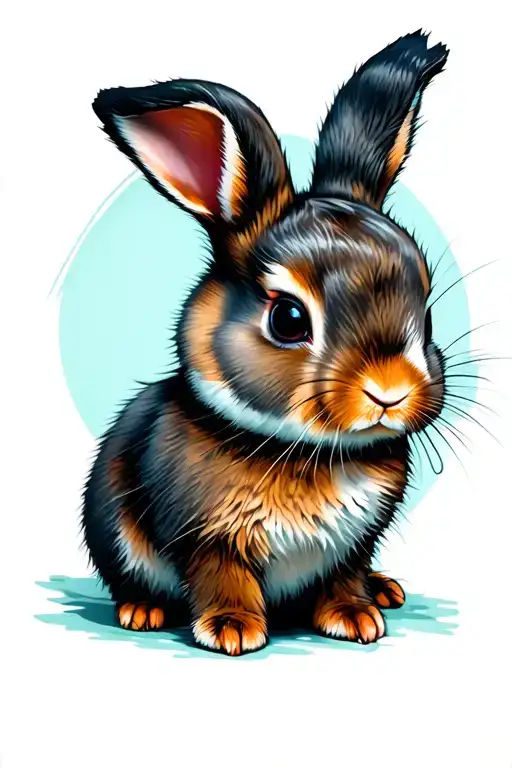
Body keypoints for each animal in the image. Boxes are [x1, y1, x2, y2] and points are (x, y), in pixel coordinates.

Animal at [82, 29, 449, 655]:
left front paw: (355, 617)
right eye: (289, 319)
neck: (306, 451)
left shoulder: (353, 543)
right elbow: (222, 575)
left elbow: (344, 573)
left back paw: (383, 591)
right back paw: (141, 610)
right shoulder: (205, 535)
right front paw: (233, 630)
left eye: (424, 310)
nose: (390, 393)